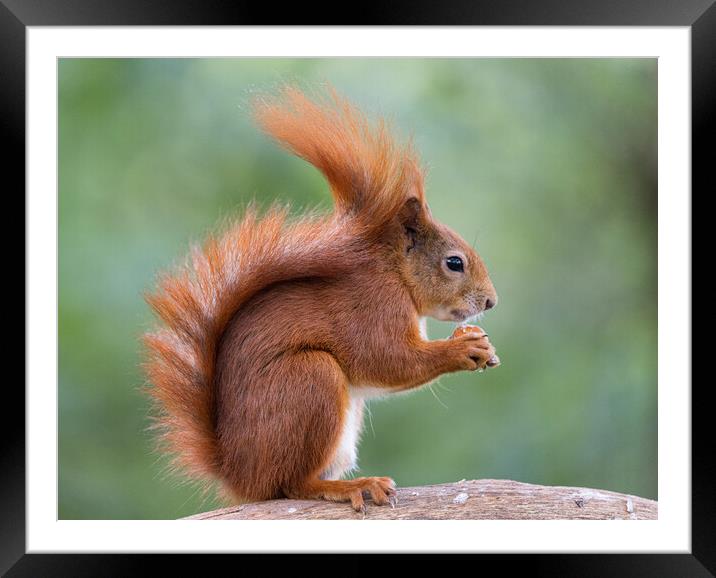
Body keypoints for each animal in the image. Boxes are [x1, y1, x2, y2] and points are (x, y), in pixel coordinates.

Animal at [143, 85, 500, 508]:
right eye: (454, 263)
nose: (491, 301)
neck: (396, 274)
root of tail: (240, 475)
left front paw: (475, 339)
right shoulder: (374, 305)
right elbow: (387, 359)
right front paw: (462, 349)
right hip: (309, 380)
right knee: (293, 484)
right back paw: (351, 486)